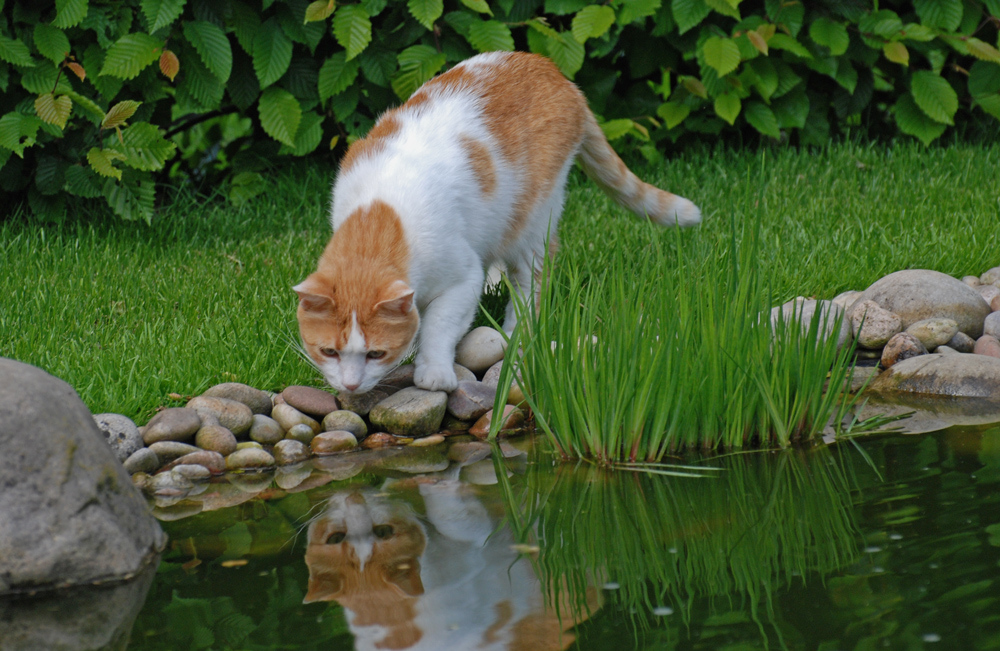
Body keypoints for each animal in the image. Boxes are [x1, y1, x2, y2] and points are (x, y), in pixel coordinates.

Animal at [292, 51, 700, 394]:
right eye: (329, 351)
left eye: (376, 353)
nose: (350, 385)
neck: (379, 214)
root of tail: (554, 71)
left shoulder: (461, 277)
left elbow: (439, 326)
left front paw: (434, 372)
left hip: (533, 217)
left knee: (532, 278)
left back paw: (517, 330)